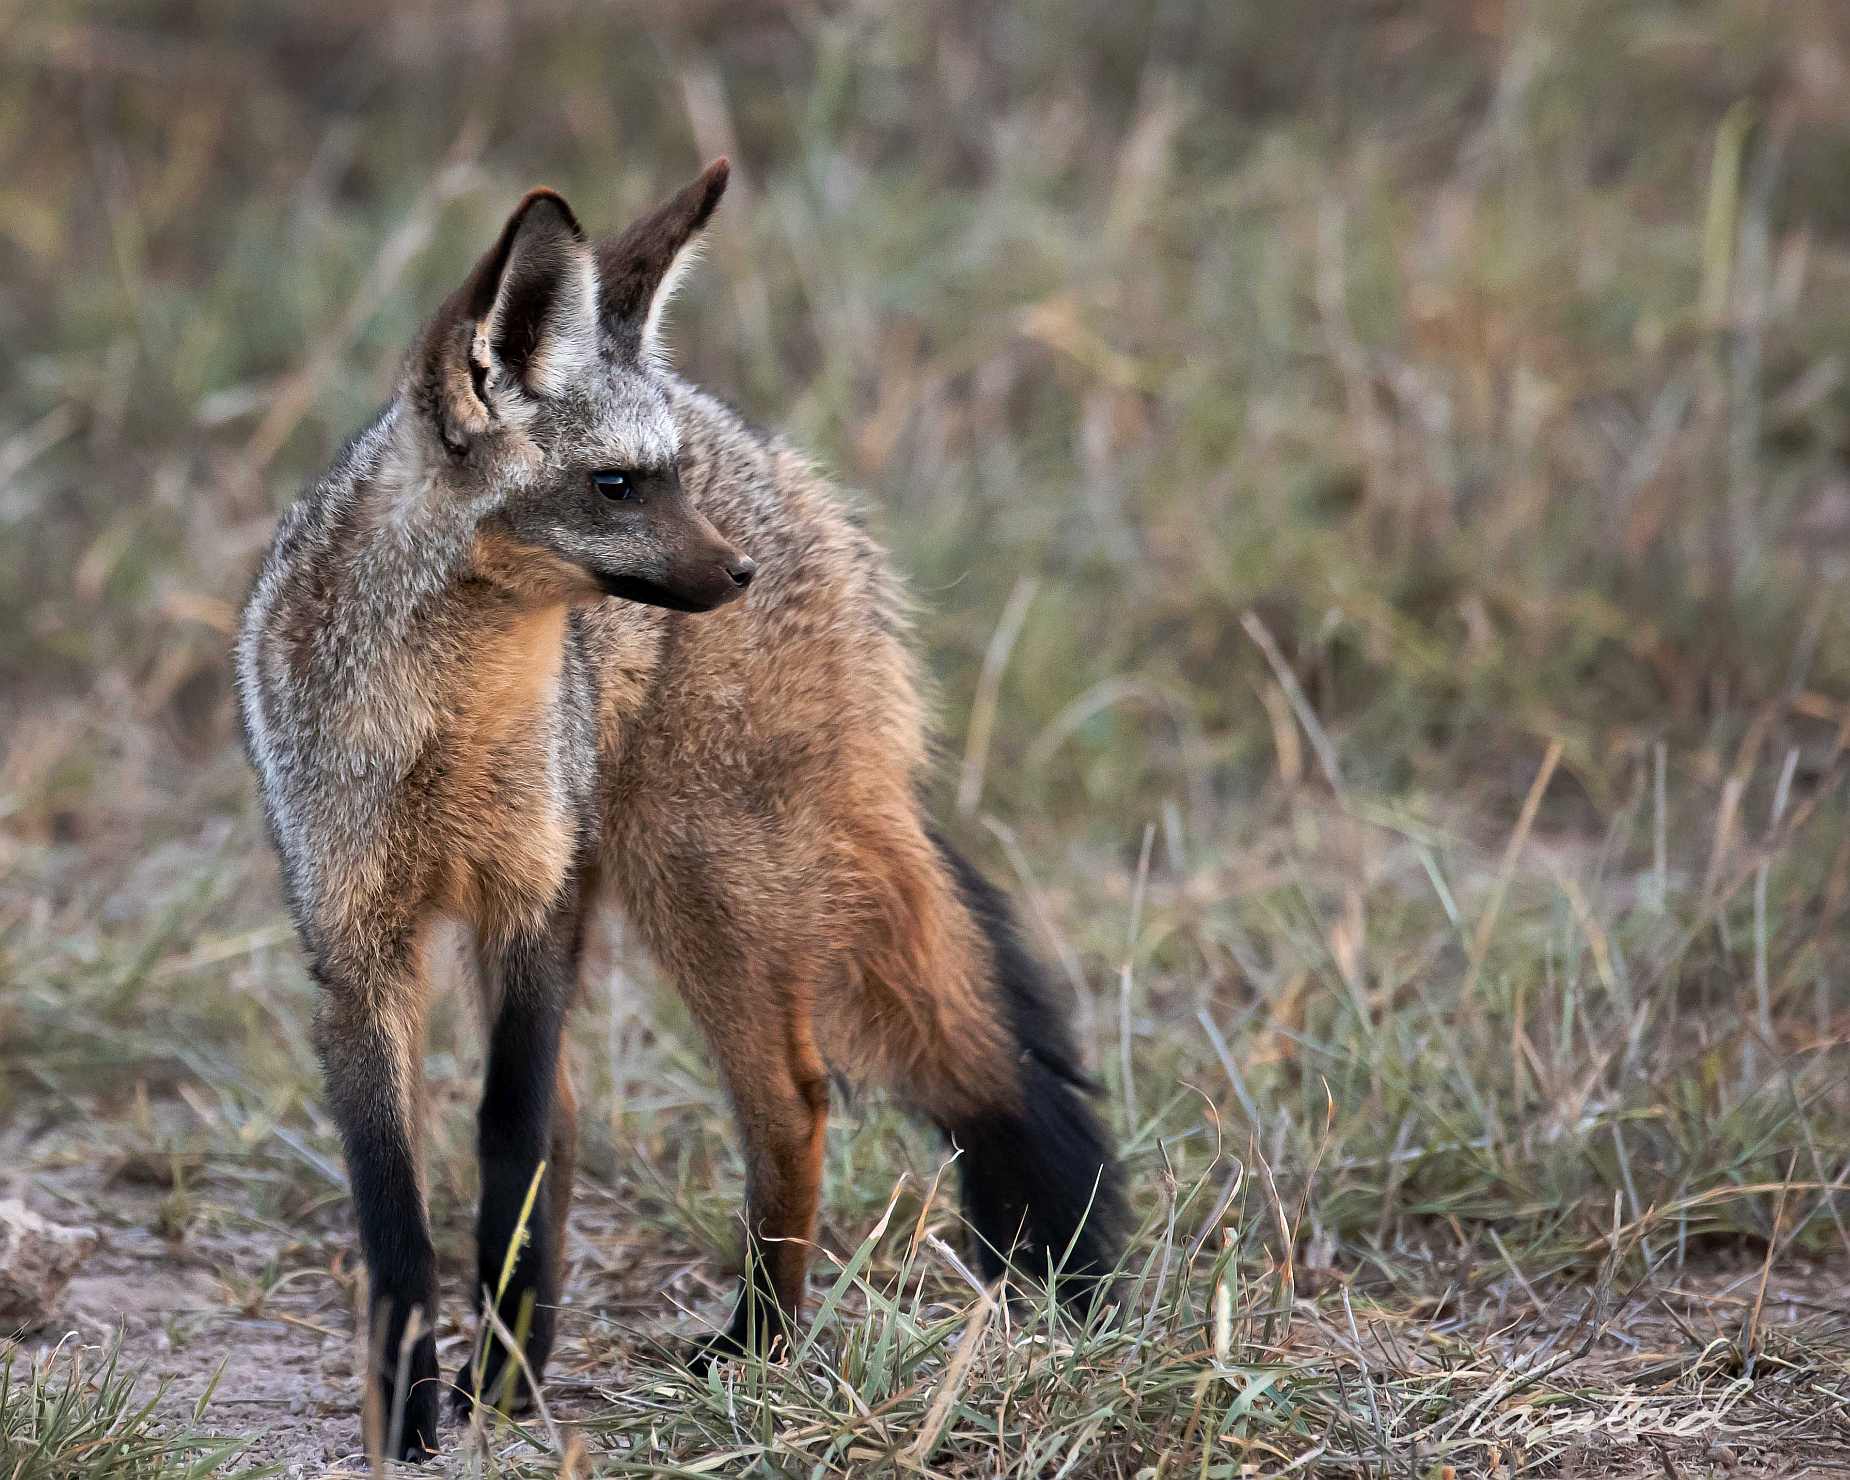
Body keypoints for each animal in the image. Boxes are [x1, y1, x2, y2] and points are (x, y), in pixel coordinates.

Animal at [234, 159, 1126, 1460]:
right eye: (616, 485)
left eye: (667, 485)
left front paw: (484, 1369)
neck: (447, 740)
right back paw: (536, 1367)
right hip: (642, 889)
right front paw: (412, 1409)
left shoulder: (527, 910)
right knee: (581, 1113)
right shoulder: (357, 952)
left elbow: (504, 1139)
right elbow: (392, 1199)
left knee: (791, 1101)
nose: (736, 574)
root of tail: (762, 447)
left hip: (700, 882)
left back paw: (753, 1342)